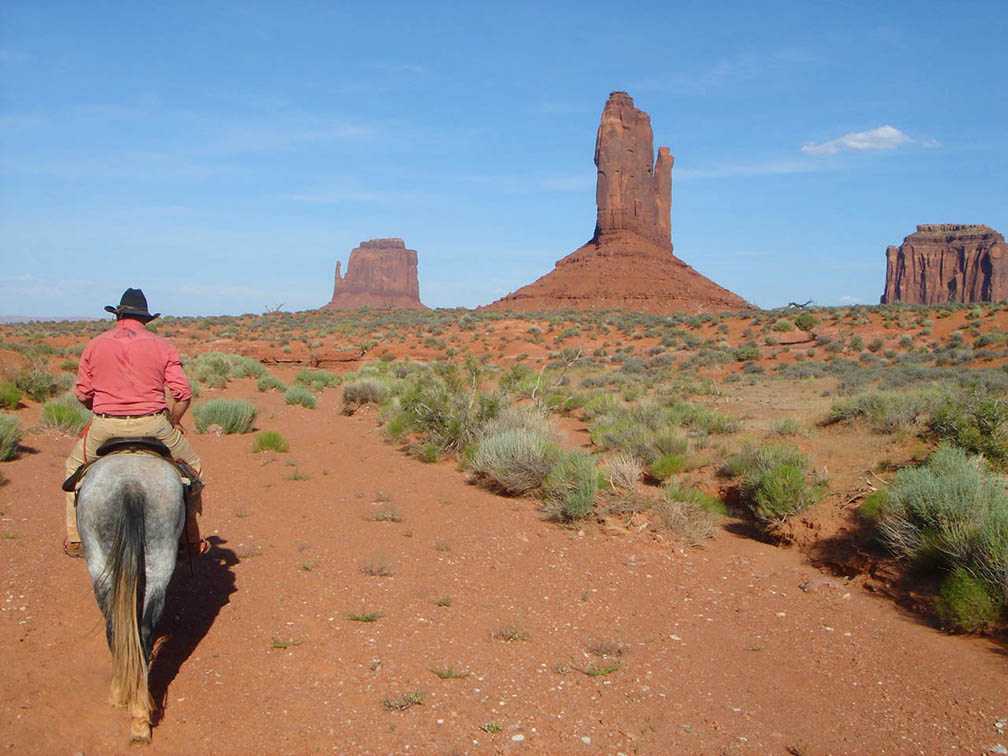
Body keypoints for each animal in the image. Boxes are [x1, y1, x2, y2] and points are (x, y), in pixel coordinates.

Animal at [76, 453, 185, 741]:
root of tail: (131, 486)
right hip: (157, 558)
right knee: (137, 629)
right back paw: (139, 716)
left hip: (100, 561)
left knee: (117, 627)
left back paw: (121, 695)